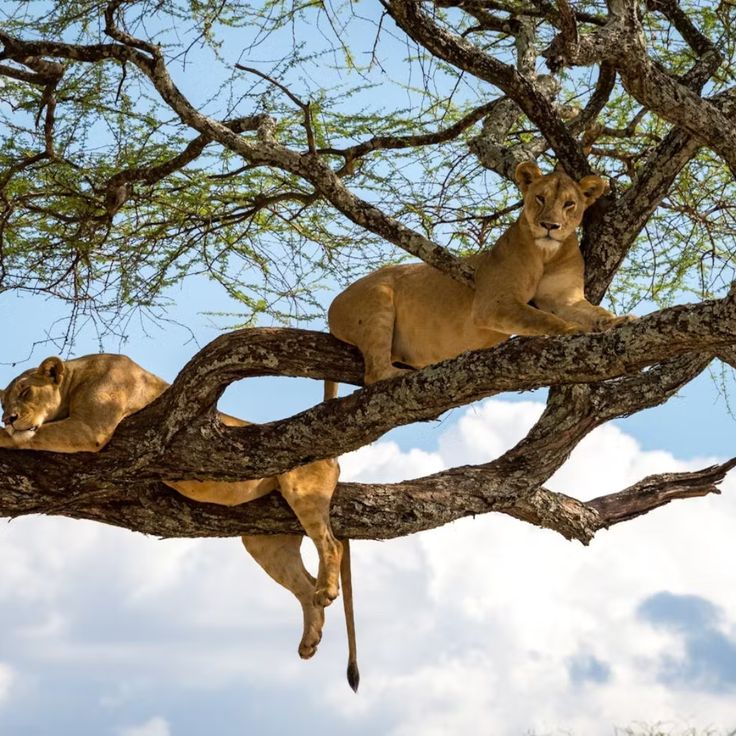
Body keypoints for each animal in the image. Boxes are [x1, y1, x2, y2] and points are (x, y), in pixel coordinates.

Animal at [0, 353, 359, 691]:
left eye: (26, 391)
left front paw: (6, 434)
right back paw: (309, 640)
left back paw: (327, 591)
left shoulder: (91, 428)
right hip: (266, 541)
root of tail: (334, 458)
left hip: (303, 492)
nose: (8, 417)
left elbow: (33, 435)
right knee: (303, 585)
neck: (76, 379)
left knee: (331, 543)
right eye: (3, 402)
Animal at [328, 161, 633, 384]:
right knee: (374, 374)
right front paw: (573, 330)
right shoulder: (493, 303)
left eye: (569, 204)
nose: (550, 226)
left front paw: (619, 320)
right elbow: (543, 317)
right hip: (377, 300)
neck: (547, 254)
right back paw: (400, 374)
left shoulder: (564, 298)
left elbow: (595, 312)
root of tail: (334, 304)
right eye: (540, 198)